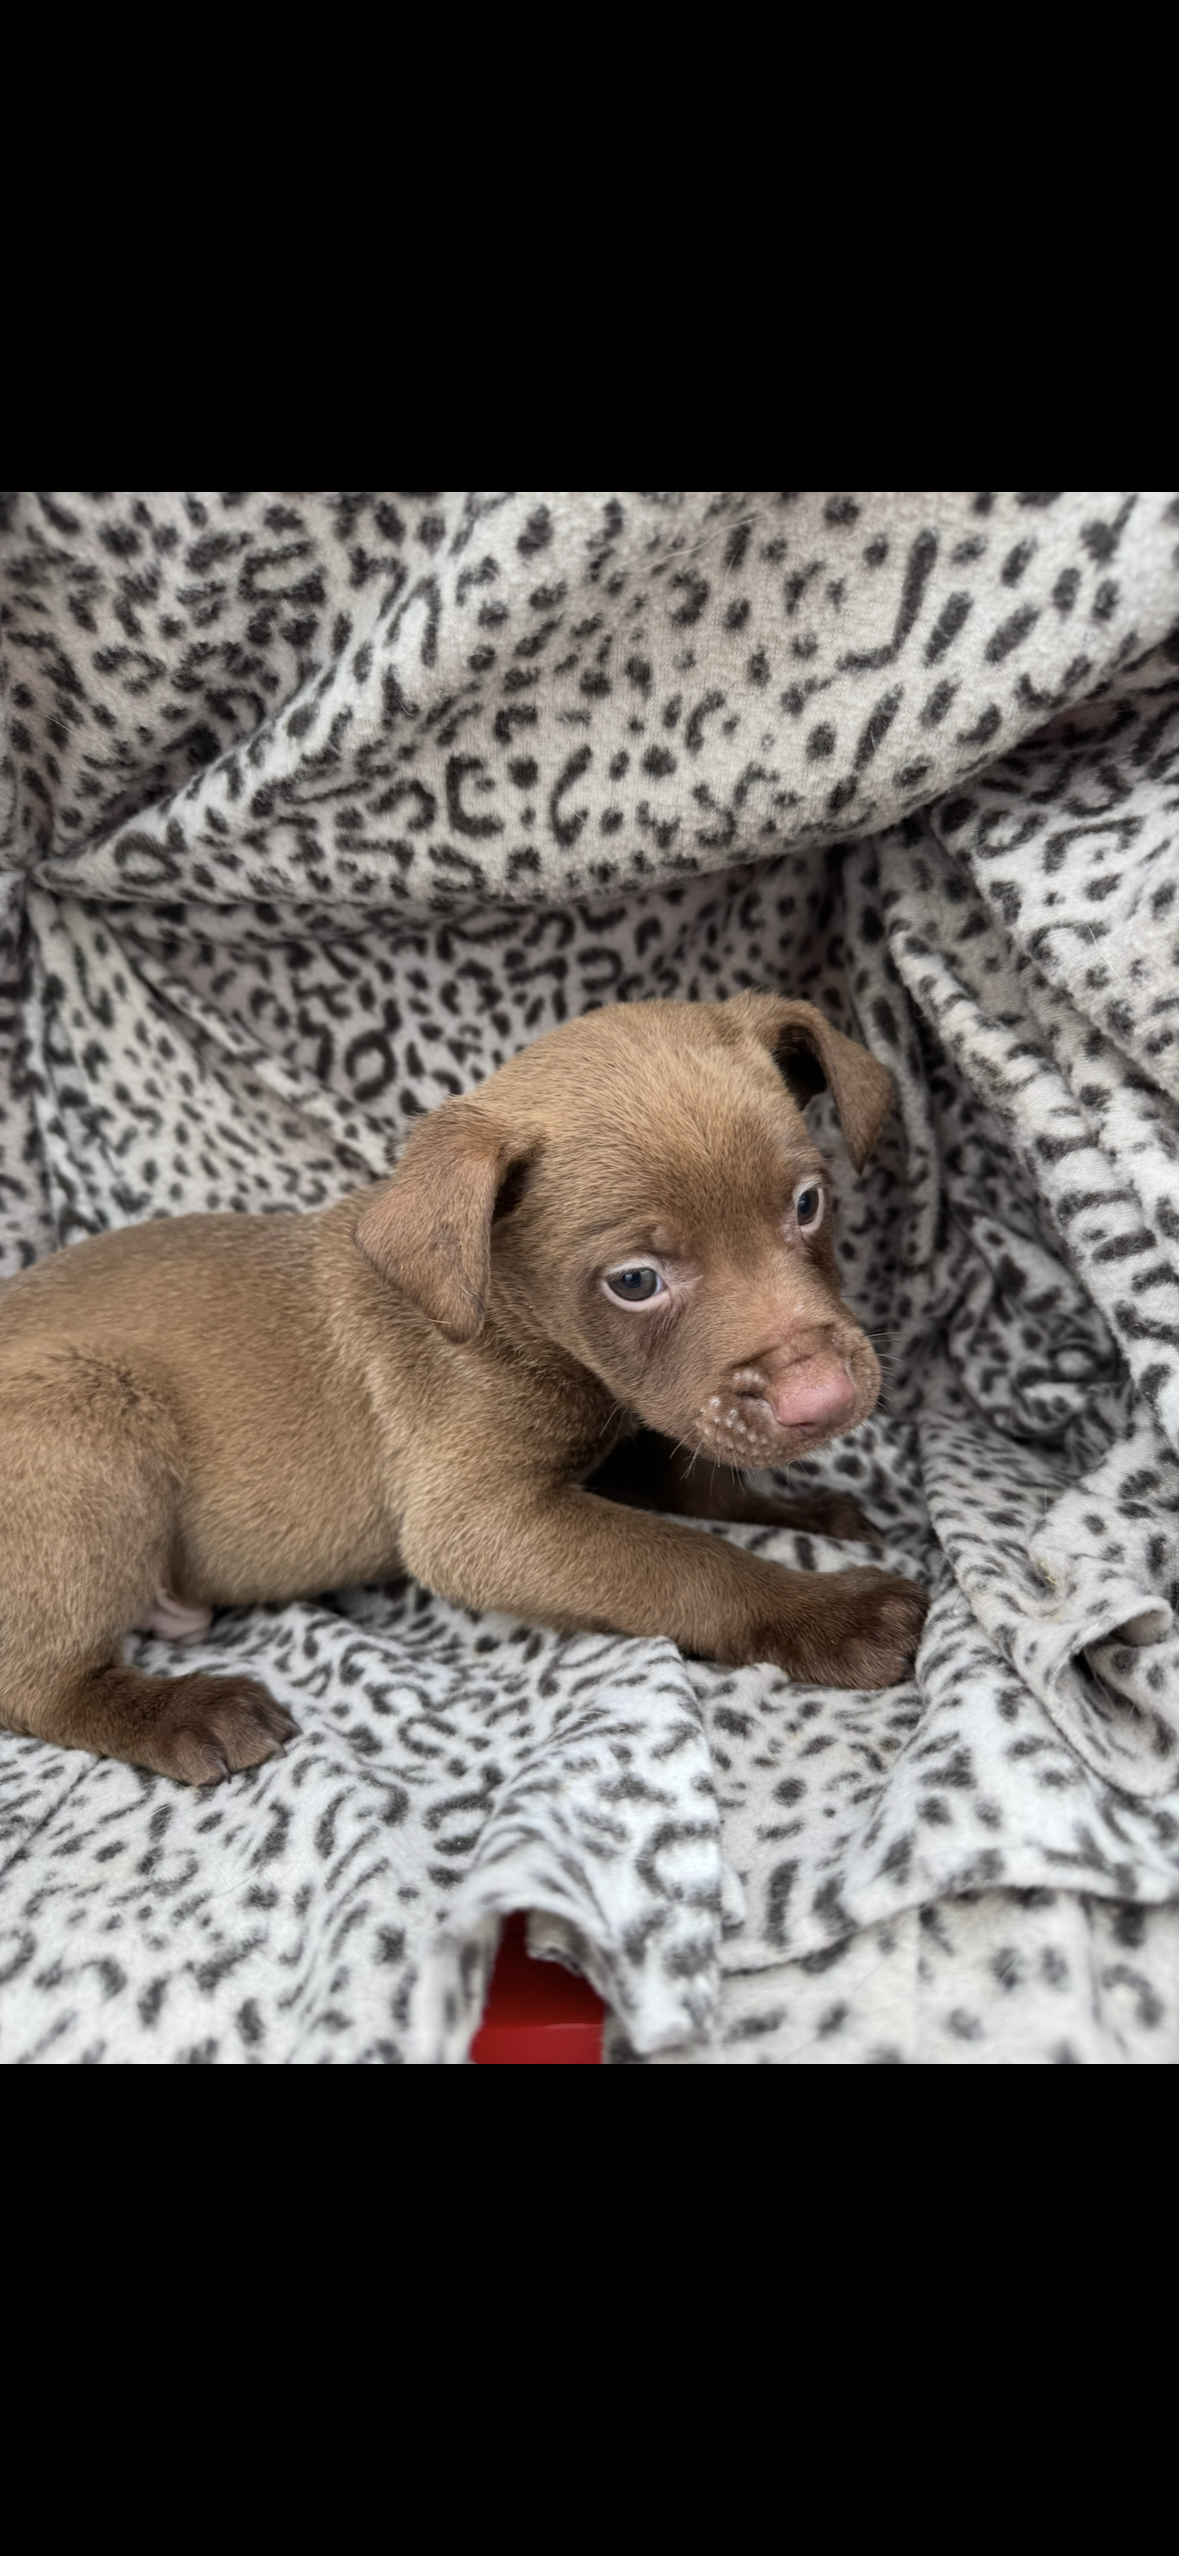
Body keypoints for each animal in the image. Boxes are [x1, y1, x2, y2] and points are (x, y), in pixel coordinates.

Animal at [0, 993, 927, 1784]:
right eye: (634, 1281)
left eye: (806, 1204)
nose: (824, 1403)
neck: (517, 1324)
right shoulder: (480, 1522)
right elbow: (681, 1559)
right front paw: (826, 1613)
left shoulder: (621, 1432)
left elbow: (699, 1485)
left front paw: (808, 1513)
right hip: (85, 1421)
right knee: (36, 1685)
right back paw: (186, 1712)